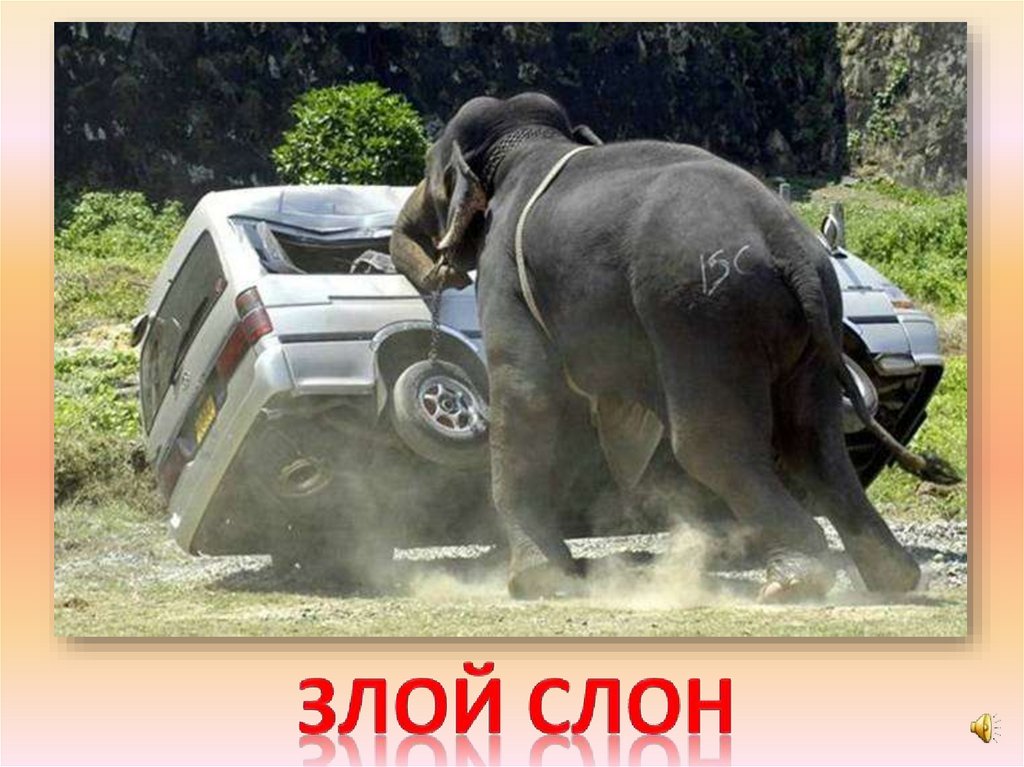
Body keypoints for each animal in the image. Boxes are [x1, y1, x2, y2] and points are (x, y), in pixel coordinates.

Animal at [390, 92, 959, 601]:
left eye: (431, 171)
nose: (437, 268)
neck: (532, 143)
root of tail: (790, 248)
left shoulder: (505, 271)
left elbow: (527, 396)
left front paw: (537, 584)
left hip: (702, 315)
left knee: (711, 442)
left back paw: (794, 581)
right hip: (813, 326)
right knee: (814, 440)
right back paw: (894, 579)